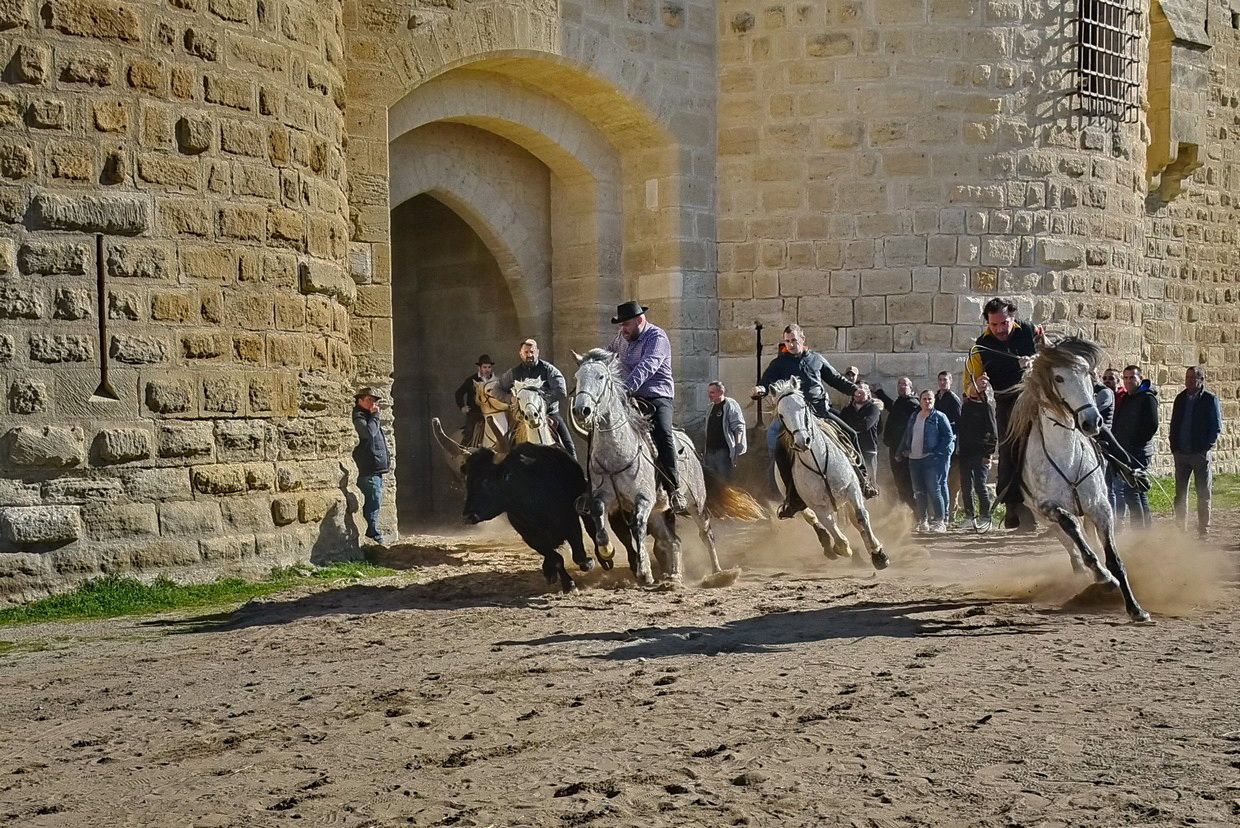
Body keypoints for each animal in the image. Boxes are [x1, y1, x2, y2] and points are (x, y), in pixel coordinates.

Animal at [432, 418, 596, 593]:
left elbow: (578, 554)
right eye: (467, 481)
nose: (467, 516)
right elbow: (555, 558)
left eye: (487, 480)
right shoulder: (529, 535)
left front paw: (587, 563)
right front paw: (567, 583)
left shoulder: (570, 520)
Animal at [570, 349, 740, 586]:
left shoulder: (644, 498)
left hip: (695, 502)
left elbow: (637, 527)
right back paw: (674, 575)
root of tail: (689, 444)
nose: (582, 410)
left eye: (601, 377)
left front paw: (645, 572)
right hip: (659, 512)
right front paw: (607, 551)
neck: (616, 454)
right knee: (673, 540)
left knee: (706, 533)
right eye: (577, 377)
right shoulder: (604, 497)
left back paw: (719, 573)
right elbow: (599, 517)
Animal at [770, 377, 889, 571]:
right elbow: (833, 529)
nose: (802, 441)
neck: (818, 463)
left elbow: (861, 517)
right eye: (781, 415)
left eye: (803, 406)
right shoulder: (818, 506)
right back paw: (828, 545)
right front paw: (842, 548)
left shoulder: (851, 488)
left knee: (854, 520)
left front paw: (879, 555)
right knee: (812, 519)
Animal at [1007, 336, 1149, 622]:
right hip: (1043, 517)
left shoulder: (1101, 507)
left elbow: (1114, 559)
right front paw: (1103, 577)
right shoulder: (1049, 508)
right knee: (1071, 543)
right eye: (1058, 378)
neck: (1067, 455)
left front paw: (1135, 608)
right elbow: (1073, 530)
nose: (1092, 422)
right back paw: (1085, 572)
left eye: (1086, 374)